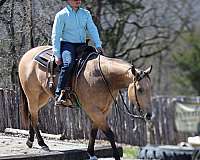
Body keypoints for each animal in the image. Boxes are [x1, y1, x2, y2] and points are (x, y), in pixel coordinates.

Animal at [18, 45, 152, 160]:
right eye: (140, 89)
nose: (149, 115)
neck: (103, 77)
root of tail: (26, 55)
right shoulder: (93, 110)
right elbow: (109, 133)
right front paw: (116, 156)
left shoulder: (103, 110)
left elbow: (93, 132)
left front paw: (91, 153)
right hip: (33, 96)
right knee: (34, 117)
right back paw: (42, 144)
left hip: (43, 97)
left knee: (31, 114)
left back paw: (30, 141)